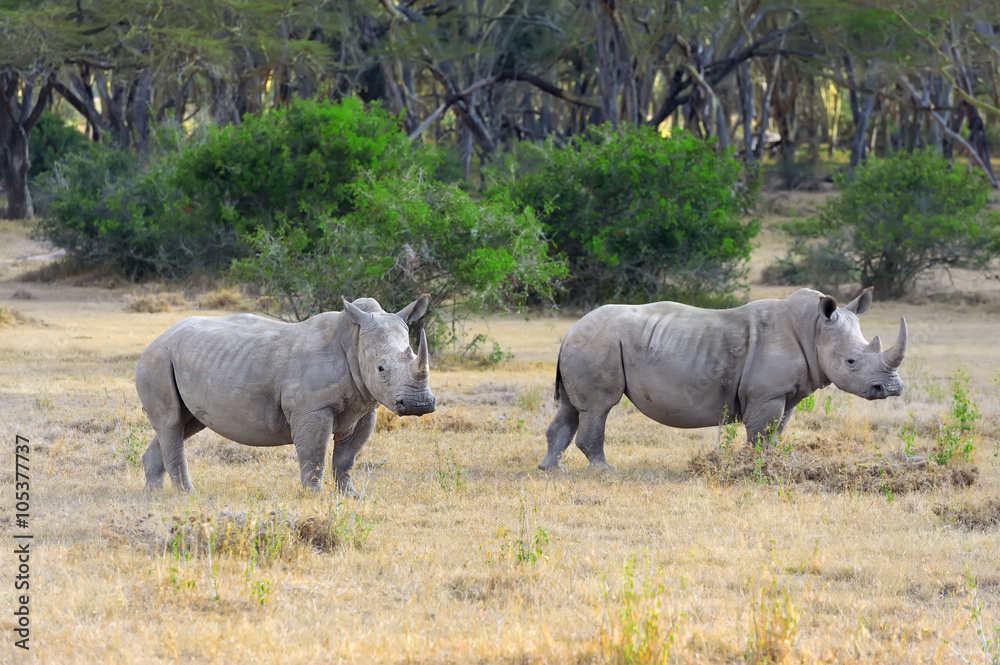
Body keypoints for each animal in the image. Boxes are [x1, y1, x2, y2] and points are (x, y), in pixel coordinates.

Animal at [135, 295, 436, 495]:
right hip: (157, 360)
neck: (354, 339)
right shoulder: (313, 409)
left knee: (184, 424)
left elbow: (346, 458)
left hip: (175, 360)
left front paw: (350, 496)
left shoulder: (365, 407)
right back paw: (188, 495)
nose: (419, 404)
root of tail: (158, 338)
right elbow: (314, 454)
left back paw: (153, 495)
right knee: (172, 423)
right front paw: (315, 497)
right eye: (381, 368)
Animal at [539, 288, 907, 470]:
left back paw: (551, 470)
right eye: (851, 361)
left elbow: (776, 433)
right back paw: (604, 471)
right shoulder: (767, 394)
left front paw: (770, 466)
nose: (892, 388)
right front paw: (755, 470)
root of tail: (569, 331)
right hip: (597, 344)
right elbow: (761, 434)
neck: (814, 329)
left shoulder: (786, 395)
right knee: (599, 408)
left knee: (572, 408)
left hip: (586, 344)